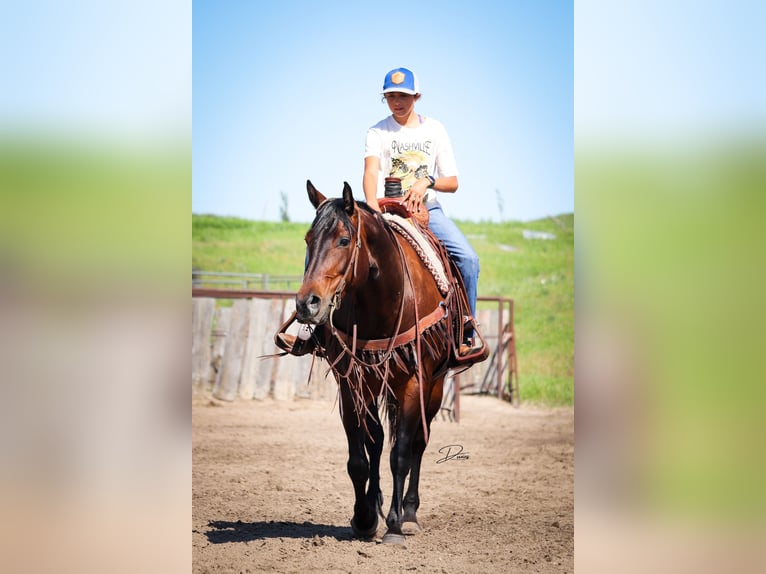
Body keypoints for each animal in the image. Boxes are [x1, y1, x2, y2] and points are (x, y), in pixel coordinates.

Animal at [286, 182, 480, 548]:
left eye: (343, 240)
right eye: (307, 239)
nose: (307, 304)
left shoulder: (414, 381)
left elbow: (401, 453)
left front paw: (394, 524)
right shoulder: (351, 381)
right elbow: (359, 457)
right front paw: (364, 518)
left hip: (434, 387)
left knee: (418, 443)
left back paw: (409, 513)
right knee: (375, 441)